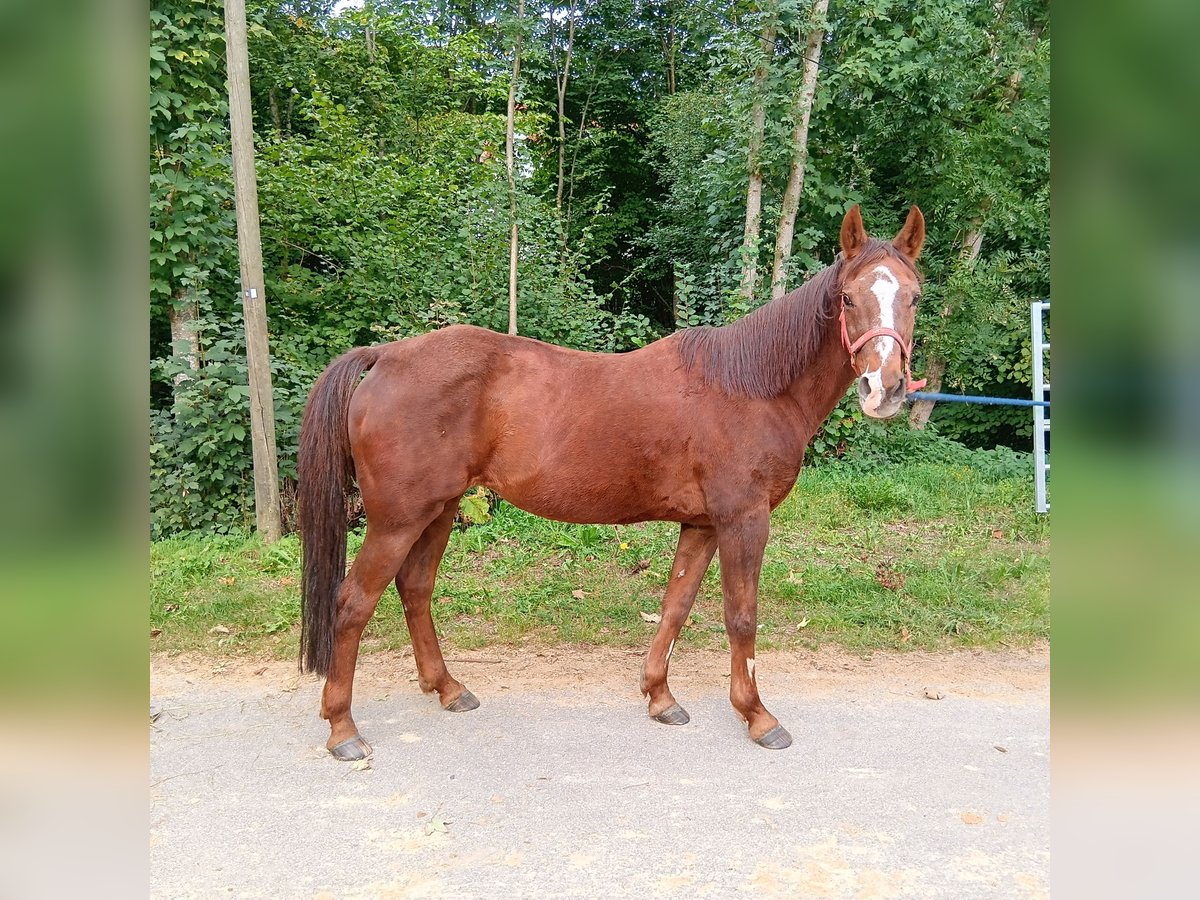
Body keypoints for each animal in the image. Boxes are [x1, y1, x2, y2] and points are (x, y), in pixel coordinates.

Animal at [297, 204, 926, 763]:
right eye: (848, 298)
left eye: (915, 297)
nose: (885, 388)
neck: (750, 387)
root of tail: (386, 357)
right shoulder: (743, 520)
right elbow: (741, 616)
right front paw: (758, 716)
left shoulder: (702, 524)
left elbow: (675, 606)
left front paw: (660, 697)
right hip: (398, 519)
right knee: (353, 603)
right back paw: (343, 729)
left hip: (441, 508)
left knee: (415, 588)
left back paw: (449, 689)